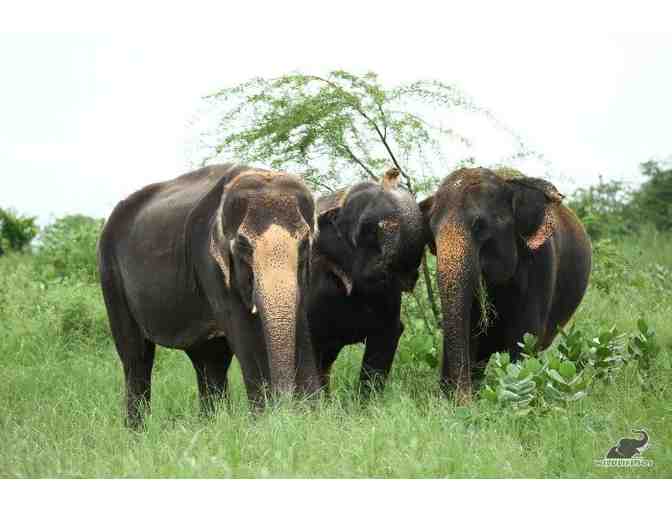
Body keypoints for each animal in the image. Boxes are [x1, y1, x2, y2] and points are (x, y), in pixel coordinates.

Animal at [98, 163, 321, 428]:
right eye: (243, 245)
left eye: (305, 243)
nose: (286, 403)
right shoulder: (209, 264)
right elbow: (244, 333)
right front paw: (265, 421)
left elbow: (301, 325)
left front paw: (312, 417)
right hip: (110, 275)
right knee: (136, 356)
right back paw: (137, 432)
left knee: (208, 360)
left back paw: (210, 424)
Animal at [419, 167, 592, 399]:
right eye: (431, 231)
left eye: (480, 226)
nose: (460, 398)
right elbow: (470, 333)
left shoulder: (542, 261)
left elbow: (525, 338)